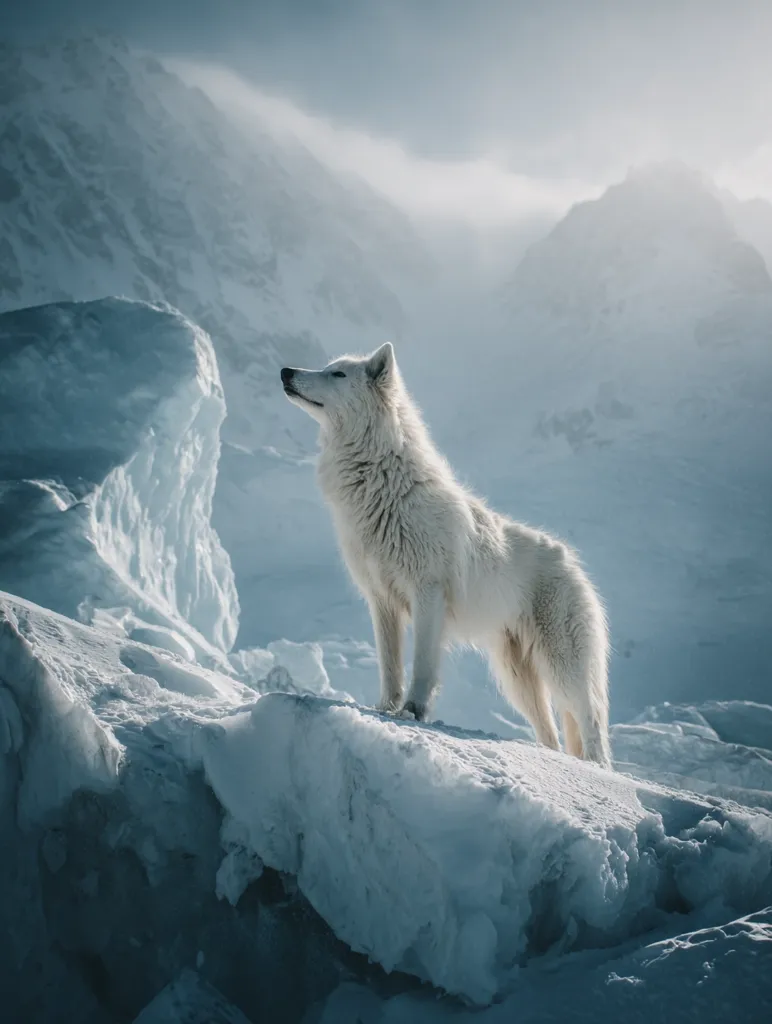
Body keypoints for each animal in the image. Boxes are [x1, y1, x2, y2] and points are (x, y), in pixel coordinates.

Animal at [281, 343, 611, 766]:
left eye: (337, 374)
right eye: (326, 367)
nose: (286, 372)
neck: (380, 482)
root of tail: (574, 565)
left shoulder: (427, 594)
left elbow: (421, 665)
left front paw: (412, 712)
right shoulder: (381, 600)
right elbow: (390, 666)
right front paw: (384, 710)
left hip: (562, 667)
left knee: (591, 721)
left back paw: (597, 767)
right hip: (517, 679)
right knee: (551, 735)